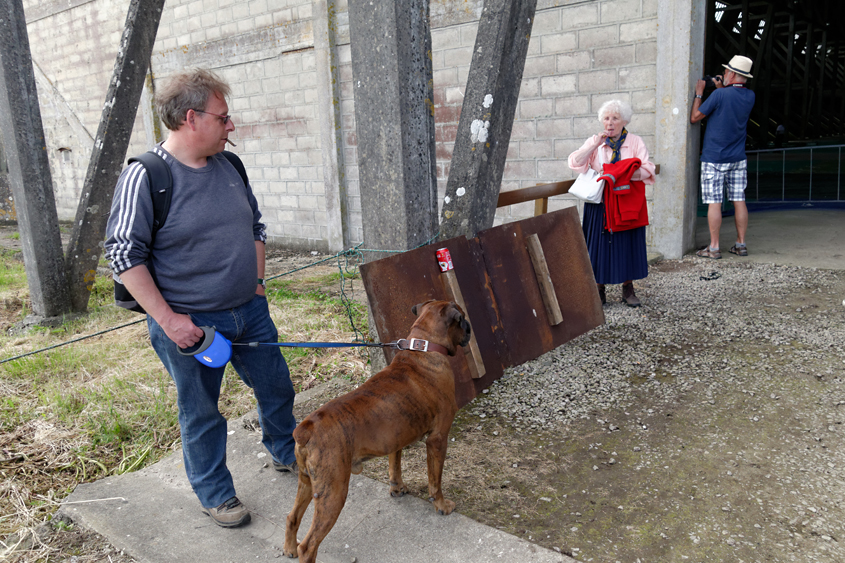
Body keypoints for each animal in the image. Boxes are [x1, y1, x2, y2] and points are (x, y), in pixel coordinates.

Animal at [282, 302, 468, 560]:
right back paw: (301, 549)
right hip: (333, 493)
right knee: (309, 546)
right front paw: (440, 505)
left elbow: (395, 465)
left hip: (307, 482)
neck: (423, 347)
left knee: (292, 517)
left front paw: (397, 488)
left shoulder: (396, 437)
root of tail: (306, 428)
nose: (470, 329)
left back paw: (289, 548)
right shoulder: (437, 439)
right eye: (463, 319)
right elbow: (435, 479)